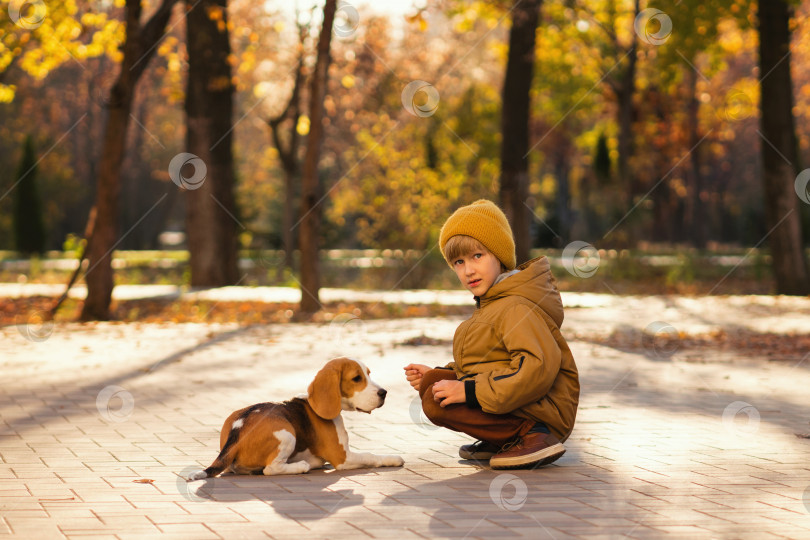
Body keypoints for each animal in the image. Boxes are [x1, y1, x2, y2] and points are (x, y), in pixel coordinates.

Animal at [189, 356, 404, 478]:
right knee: (270, 469)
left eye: (368, 374)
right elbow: (370, 455)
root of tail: (237, 430)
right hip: (287, 433)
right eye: (357, 378)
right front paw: (393, 458)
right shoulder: (343, 457)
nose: (384, 393)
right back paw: (301, 466)